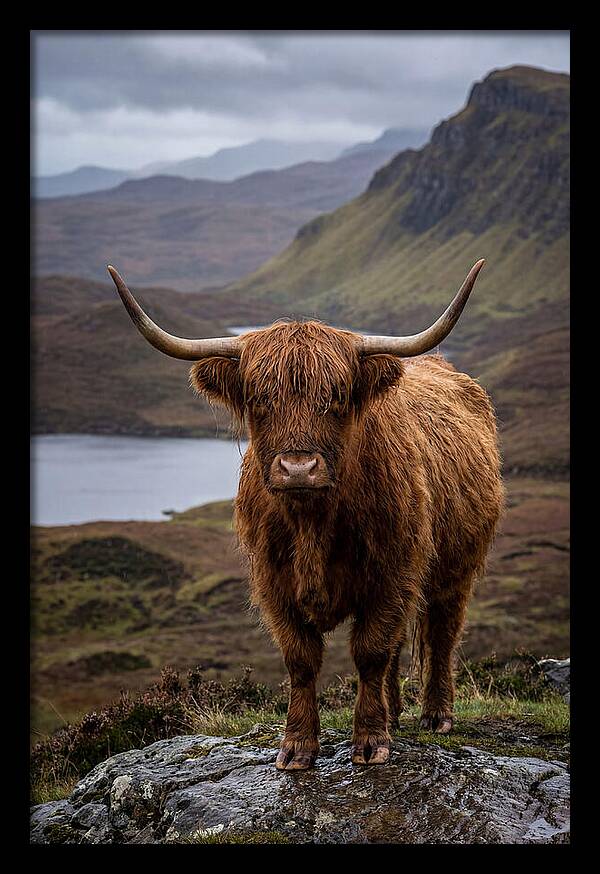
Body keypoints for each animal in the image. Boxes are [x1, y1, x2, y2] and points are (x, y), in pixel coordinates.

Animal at [108, 261, 504, 770]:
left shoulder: (392, 573)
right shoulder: (274, 581)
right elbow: (302, 659)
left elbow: (370, 650)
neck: (313, 522)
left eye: (336, 396)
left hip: (456, 568)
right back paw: (396, 713)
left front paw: (370, 741)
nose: (298, 467)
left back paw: (436, 715)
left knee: (441, 632)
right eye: (259, 398)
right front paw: (297, 746)